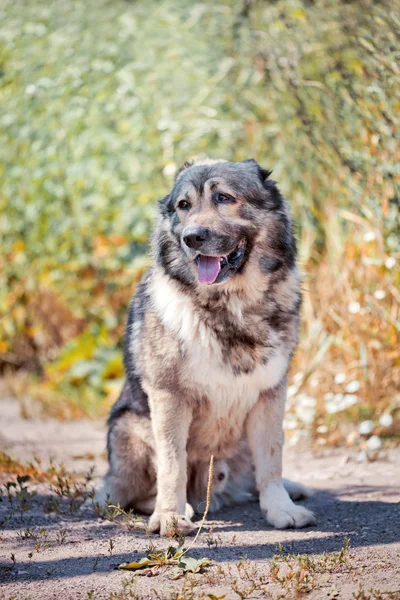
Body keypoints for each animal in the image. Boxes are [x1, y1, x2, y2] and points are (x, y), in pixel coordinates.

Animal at [102, 158, 316, 536]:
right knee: (131, 495)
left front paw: (281, 509)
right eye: (183, 205)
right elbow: (172, 463)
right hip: (131, 426)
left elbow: (271, 459)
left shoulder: (271, 394)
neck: (230, 304)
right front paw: (169, 516)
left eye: (224, 197)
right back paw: (179, 507)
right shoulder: (169, 397)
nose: (192, 238)